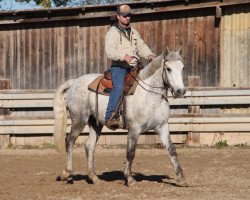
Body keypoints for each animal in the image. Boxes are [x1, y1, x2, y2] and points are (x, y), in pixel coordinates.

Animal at [54, 47, 188, 187]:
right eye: (168, 68)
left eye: (183, 67)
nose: (180, 91)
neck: (150, 96)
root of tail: (75, 82)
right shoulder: (134, 129)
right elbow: (130, 153)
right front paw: (129, 178)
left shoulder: (162, 127)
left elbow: (172, 150)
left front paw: (181, 179)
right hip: (79, 120)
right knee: (69, 141)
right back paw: (66, 173)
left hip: (95, 123)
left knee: (89, 146)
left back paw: (93, 177)